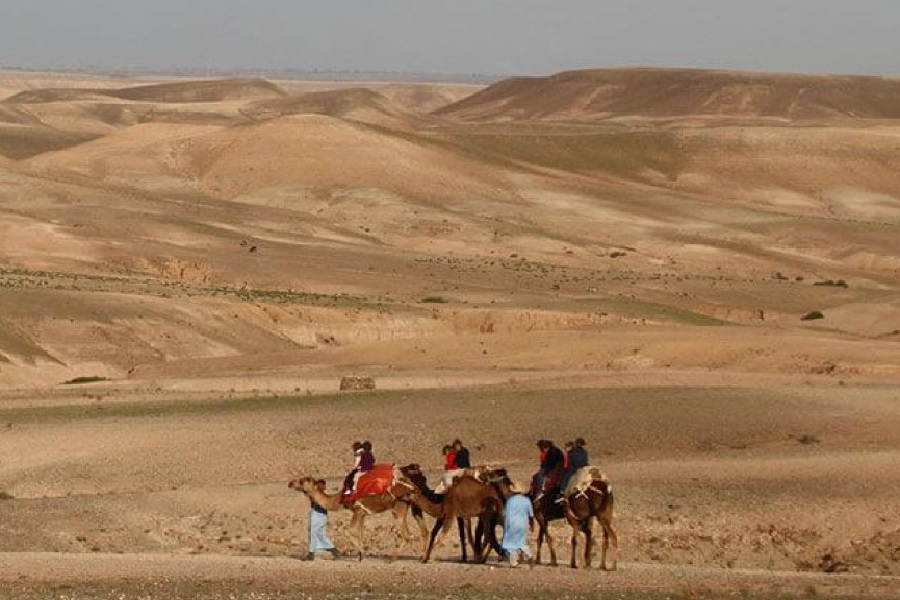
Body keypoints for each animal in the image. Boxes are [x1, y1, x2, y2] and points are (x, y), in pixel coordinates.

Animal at [290, 474, 428, 564]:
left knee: (407, 534)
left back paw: (392, 560)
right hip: (404, 507)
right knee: (415, 532)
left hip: (398, 508)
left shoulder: (357, 510)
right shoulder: (362, 514)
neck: (339, 500)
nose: (291, 483)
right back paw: (420, 558)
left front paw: (362, 553)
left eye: (304, 480)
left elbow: (347, 530)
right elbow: (360, 533)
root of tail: (413, 487)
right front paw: (360, 557)